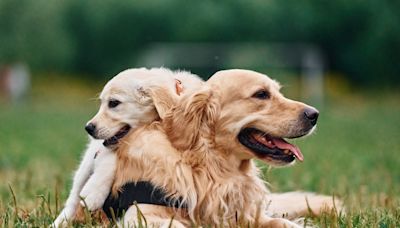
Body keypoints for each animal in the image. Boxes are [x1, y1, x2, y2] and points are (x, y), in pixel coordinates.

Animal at [52, 67, 203, 227]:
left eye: (113, 103)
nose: (88, 128)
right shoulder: (104, 146)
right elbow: (109, 155)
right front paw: (94, 193)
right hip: (84, 169)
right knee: (72, 201)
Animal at [109, 68, 334, 227]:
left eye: (278, 92)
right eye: (261, 94)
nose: (314, 114)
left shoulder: (249, 215)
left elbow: (282, 222)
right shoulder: (140, 215)